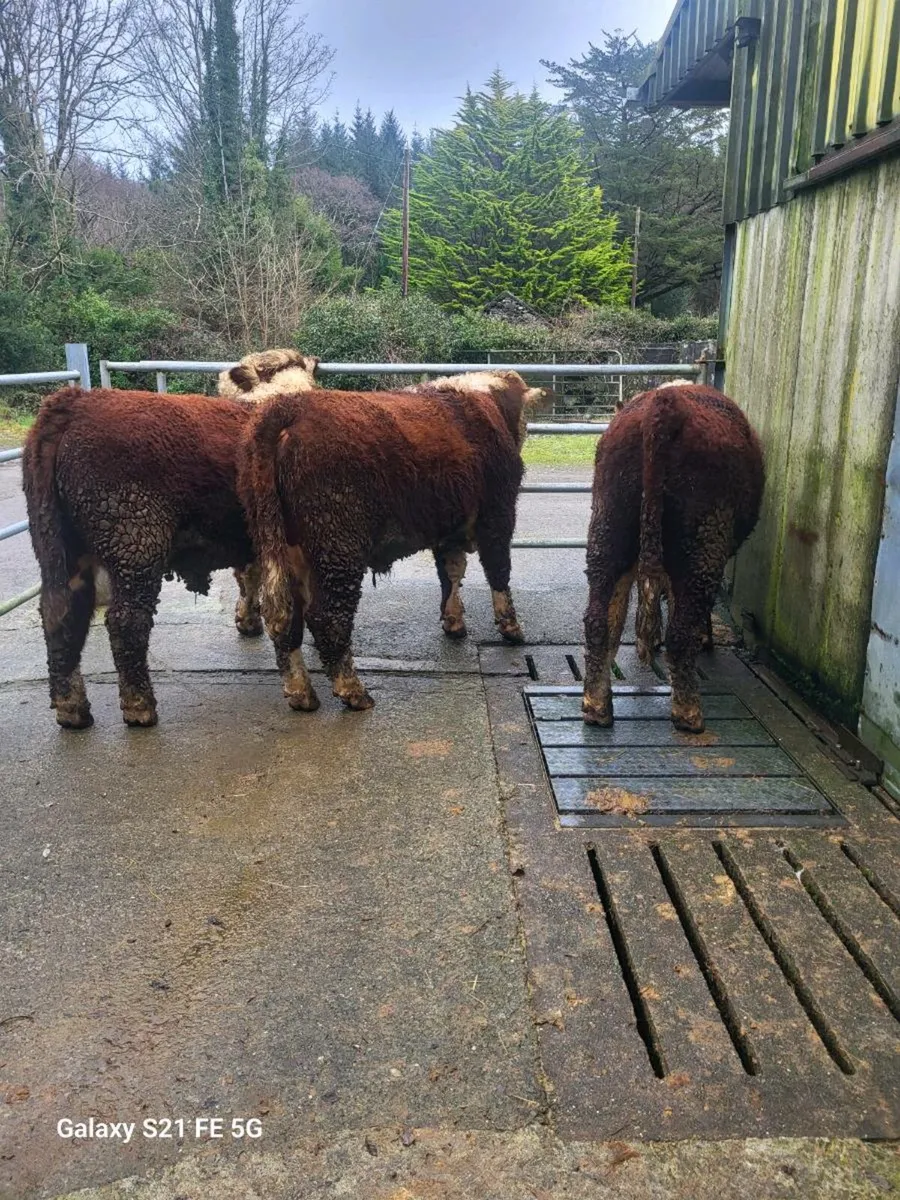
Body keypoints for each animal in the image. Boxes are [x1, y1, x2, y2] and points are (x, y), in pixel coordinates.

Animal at [22, 355, 320, 729]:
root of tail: (73, 404)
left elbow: (248, 578)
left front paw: (247, 621)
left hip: (58, 544)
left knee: (60, 612)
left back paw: (71, 707)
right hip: (136, 541)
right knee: (125, 621)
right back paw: (139, 706)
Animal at [238, 371, 543, 712]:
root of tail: (287, 408)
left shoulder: (448, 527)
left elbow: (451, 572)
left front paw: (454, 622)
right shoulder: (498, 513)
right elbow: (498, 570)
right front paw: (511, 628)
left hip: (281, 544)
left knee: (285, 617)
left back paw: (301, 692)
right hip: (338, 544)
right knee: (327, 617)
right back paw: (353, 691)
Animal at [582, 382, 764, 733]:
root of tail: (664, 403)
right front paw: (704, 638)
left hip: (608, 528)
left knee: (601, 618)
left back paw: (596, 707)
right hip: (704, 542)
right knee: (680, 632)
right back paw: (689, 714)